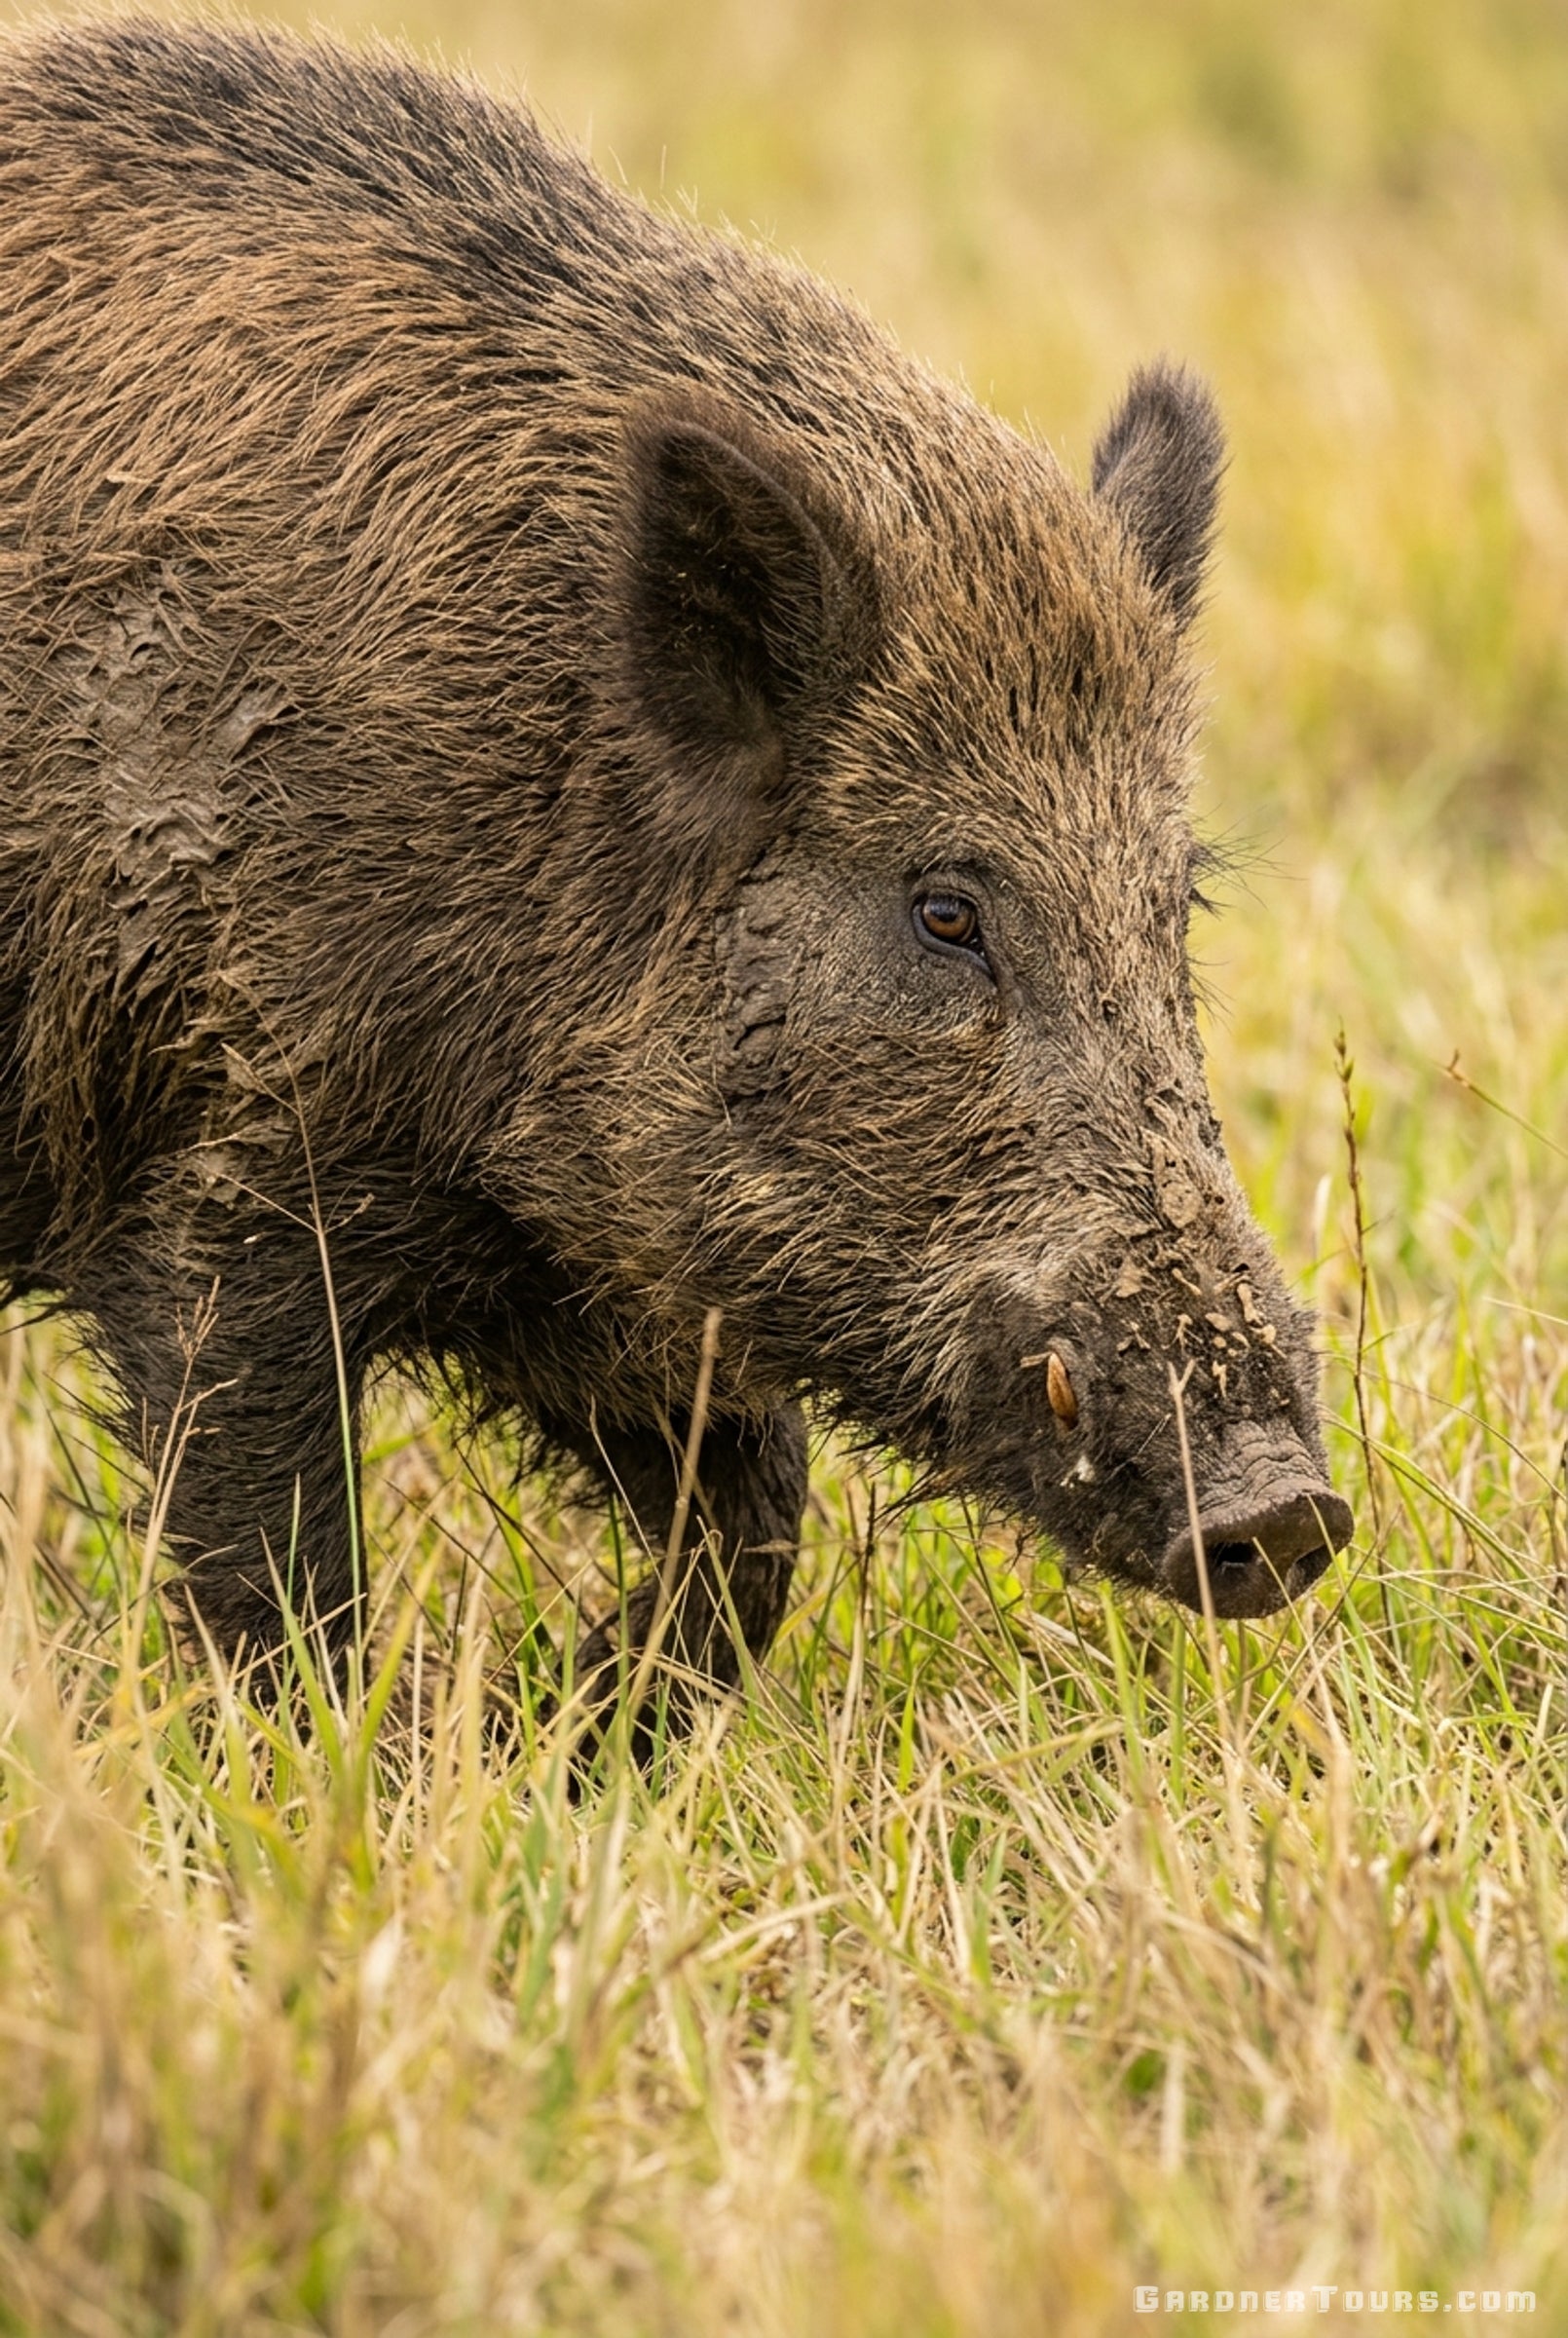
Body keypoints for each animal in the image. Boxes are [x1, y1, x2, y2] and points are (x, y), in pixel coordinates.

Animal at [0, 18, 1351, 1723]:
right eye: (946, 908)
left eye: (1173, 904)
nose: (1287, 1509)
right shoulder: (222, 1177)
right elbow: (281, 1574)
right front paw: (377, 1751)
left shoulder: (584, 1275)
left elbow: (755, 1519)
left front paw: (570, 1720)